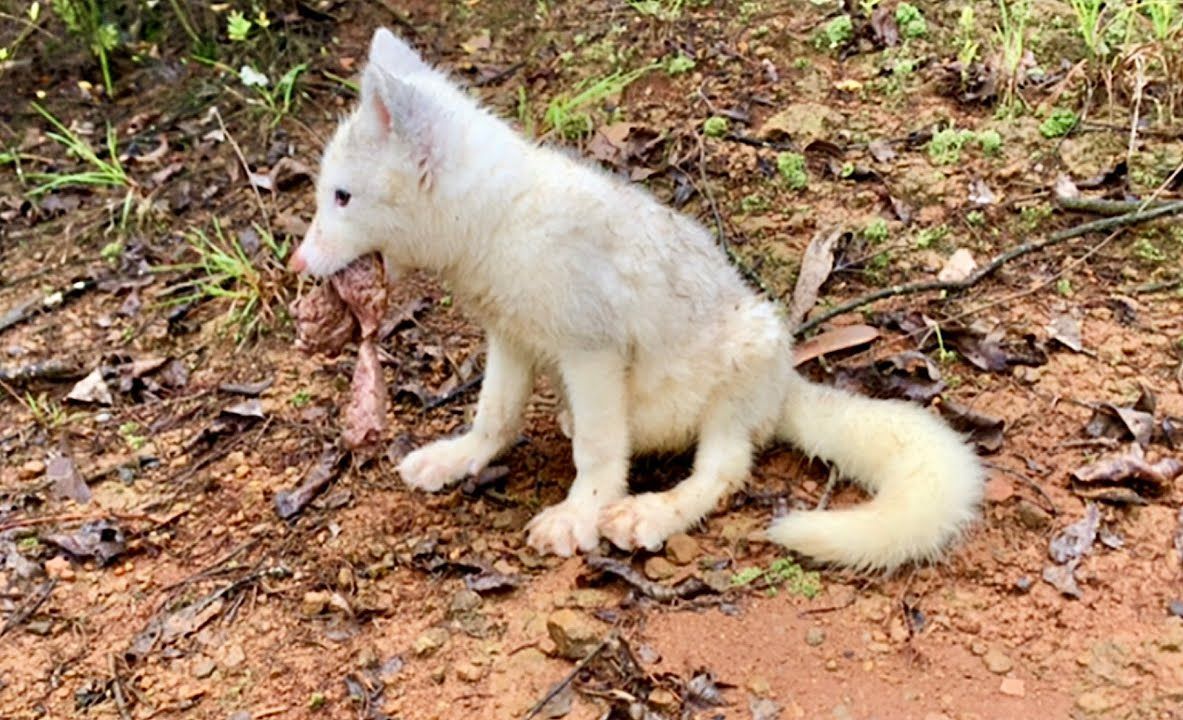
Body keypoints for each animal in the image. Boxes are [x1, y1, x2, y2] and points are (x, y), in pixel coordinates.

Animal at [291, 28, 984, 569]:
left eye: (342, 197)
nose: (296, 265)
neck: (502, 220)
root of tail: (785, 385)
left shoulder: (592, 352)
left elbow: (598, 452)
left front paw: (579, 517)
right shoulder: (510, 340)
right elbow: (496, 417)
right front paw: (457, 459)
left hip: (735, 378)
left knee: (723, 472)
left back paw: (651, 513)